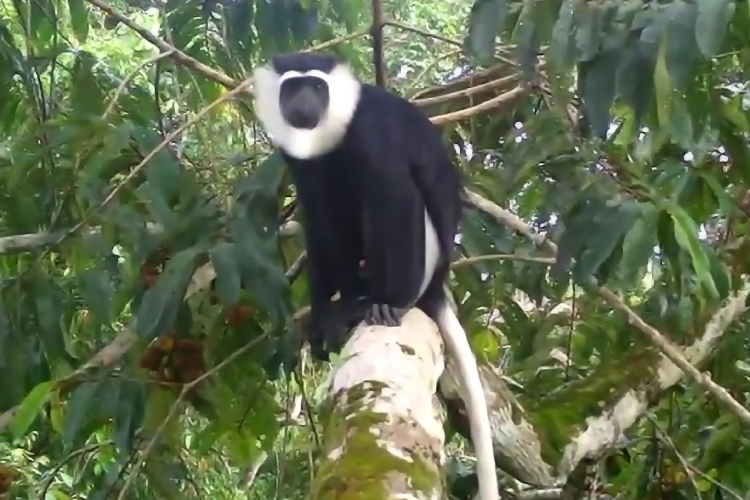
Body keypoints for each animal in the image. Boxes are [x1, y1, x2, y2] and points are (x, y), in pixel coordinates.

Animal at [253, 52, 498, 500]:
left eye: (316, 87)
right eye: (292, 87)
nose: (304, 105)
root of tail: (435, 283)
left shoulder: (371, 131)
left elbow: (394, 191)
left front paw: (388, 305)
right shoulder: (299, 161)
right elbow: (315, 213)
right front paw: (322, 317)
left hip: (422, 257)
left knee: (382, 197)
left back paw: (382, 301)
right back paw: (350, 302)